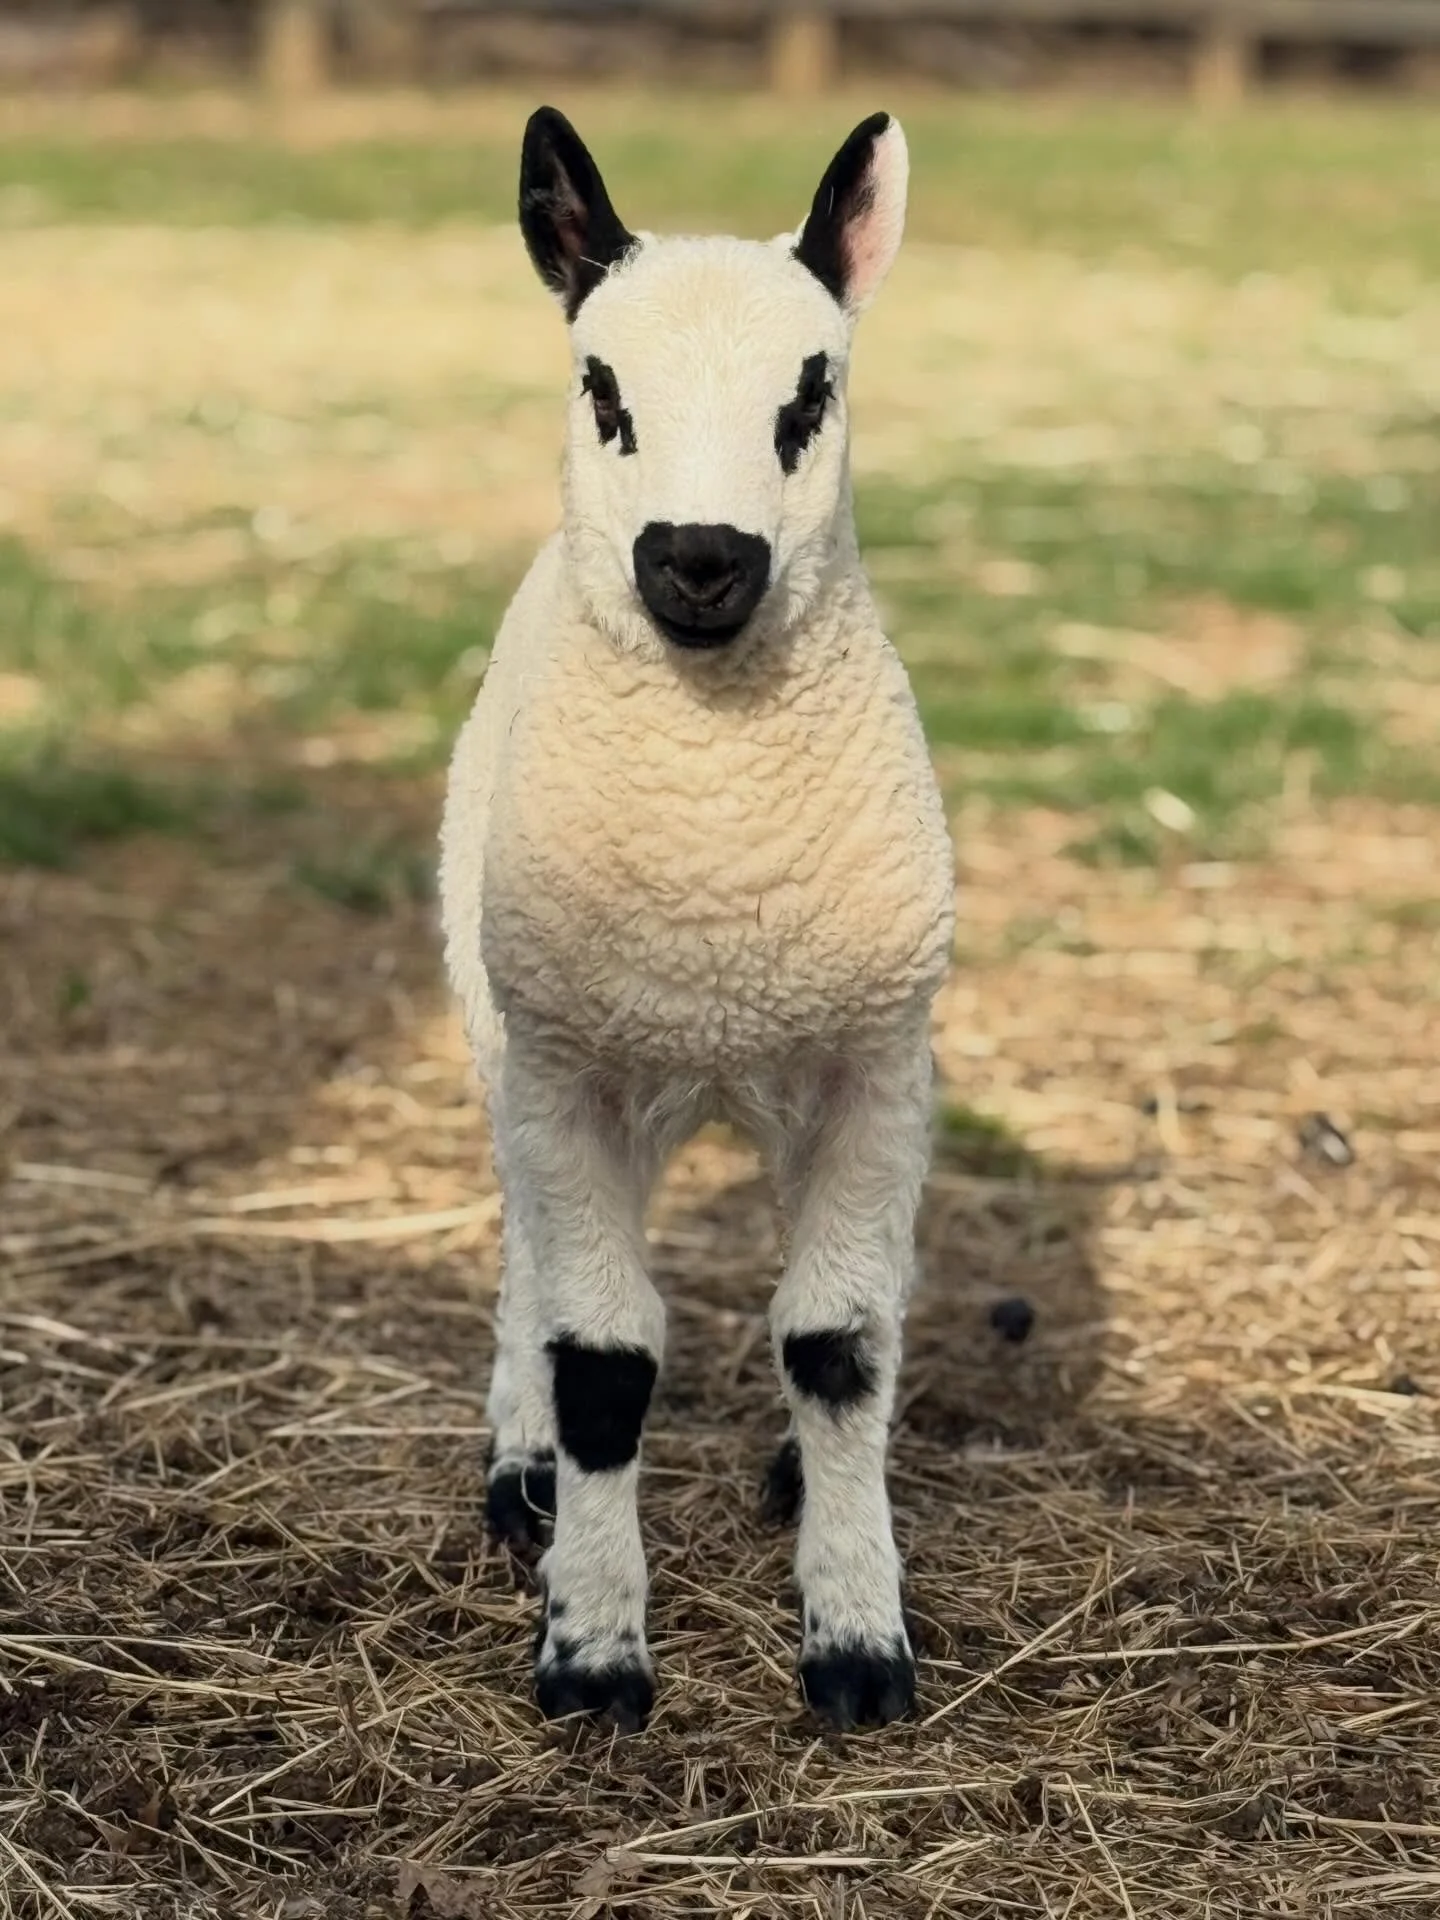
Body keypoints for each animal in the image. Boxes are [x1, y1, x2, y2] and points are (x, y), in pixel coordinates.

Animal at [439, 106, 955, 1733]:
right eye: (599, 386)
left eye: (816, 389)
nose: (702, 560)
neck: (719, 886)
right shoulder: (569, 1061)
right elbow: (603, 1362)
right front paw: (595, 1650)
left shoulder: (872, 1058)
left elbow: (839, 1342)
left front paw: (856, 1639)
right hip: (506, 1018)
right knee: (526, 1254)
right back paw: (524, 1474)